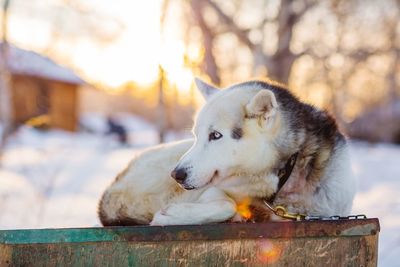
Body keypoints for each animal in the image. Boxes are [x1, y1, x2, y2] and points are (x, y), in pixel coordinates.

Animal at [98, 79, 354, 226]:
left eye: (215, 135)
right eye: (196, 134)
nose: (176, 174)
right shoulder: (212, 191)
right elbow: (227, 204)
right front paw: (173, 215)